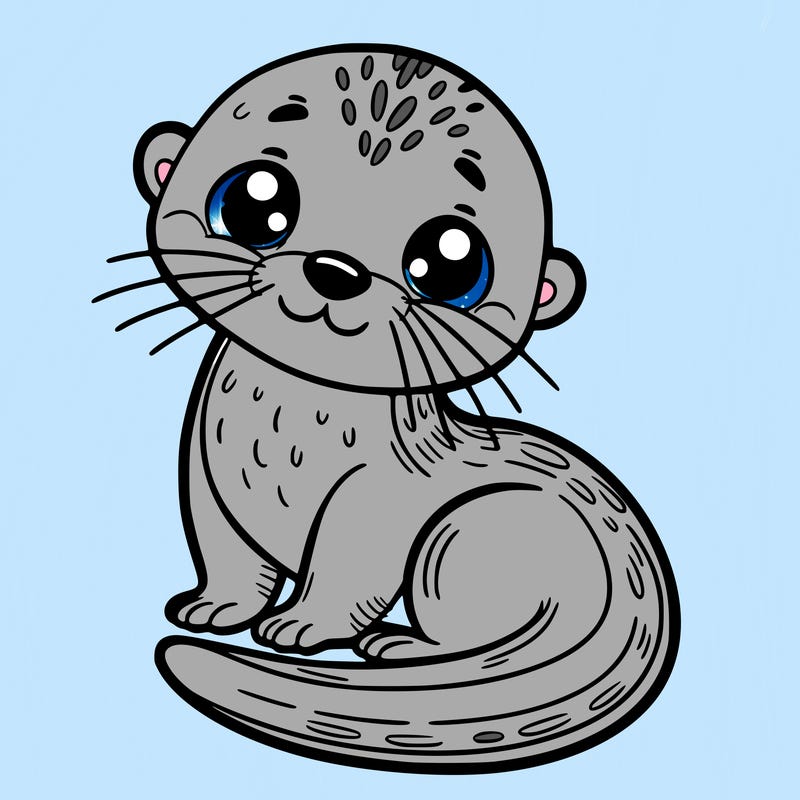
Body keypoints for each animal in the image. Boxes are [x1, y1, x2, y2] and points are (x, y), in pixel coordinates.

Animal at [100, 44, 679, 773]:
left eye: (450, 263)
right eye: (255, 201)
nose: (335, 269)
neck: (283, 433)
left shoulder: (376, 498)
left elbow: (349, 569)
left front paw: (301, 625)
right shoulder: (206, 471)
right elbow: (225, 552)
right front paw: (215, 607)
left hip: (467, 531)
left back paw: (401, 646)